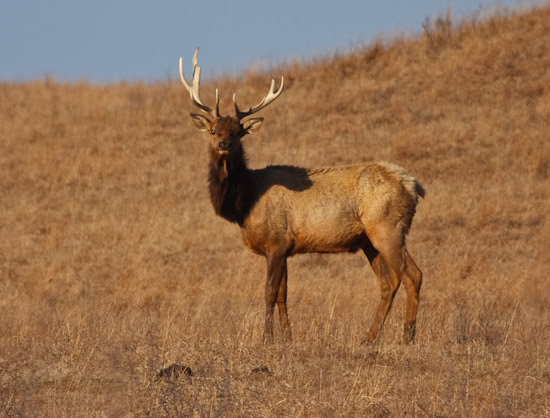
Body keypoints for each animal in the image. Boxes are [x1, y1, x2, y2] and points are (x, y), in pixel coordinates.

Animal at [181, 48, 426, 342]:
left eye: (239, 132)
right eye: (213, 130)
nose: (224, 144)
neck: (244, 202)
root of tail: (414, 185)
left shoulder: (277, 240)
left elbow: (269, 292)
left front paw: (267, 338)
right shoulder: (285, 247)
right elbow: (283, 295)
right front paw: (287, 338)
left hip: (387, 228)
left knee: (412, 275)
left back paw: (407, 337)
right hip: (370, 240)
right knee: (389, 282)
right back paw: (370, 339)